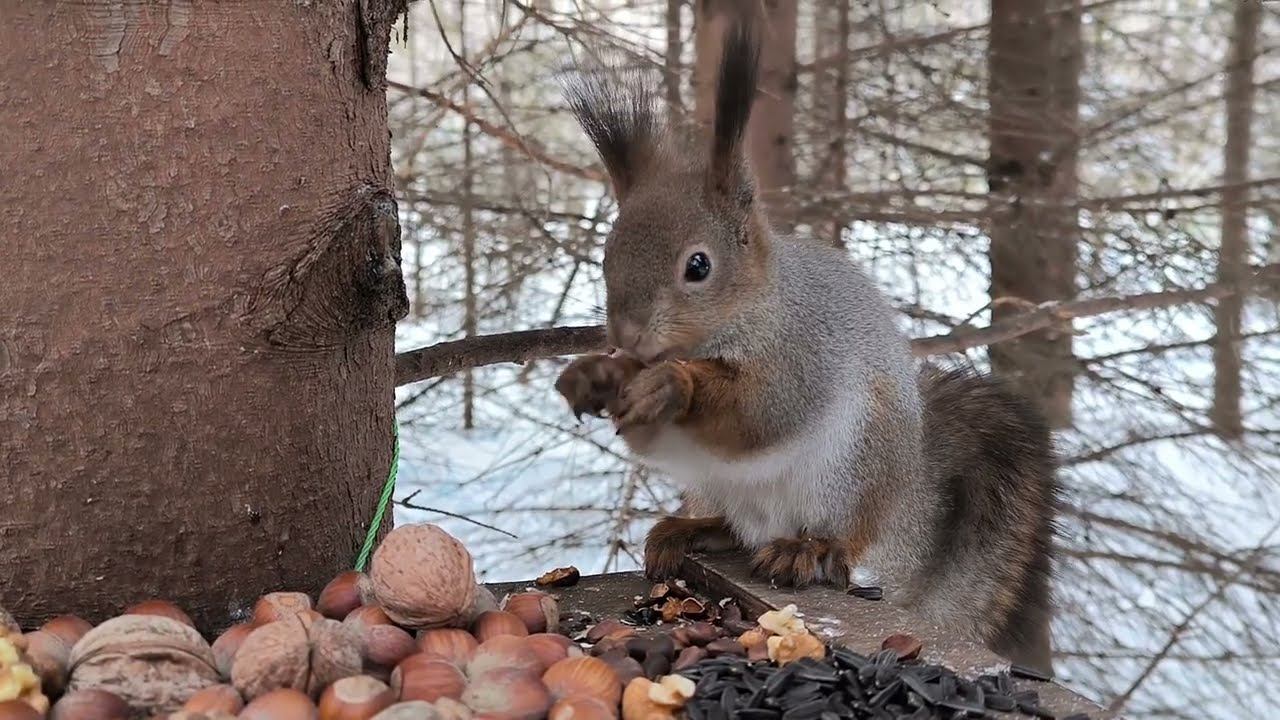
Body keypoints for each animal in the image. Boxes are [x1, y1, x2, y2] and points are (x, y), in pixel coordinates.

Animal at [552, 15, 1060, 675]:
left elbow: (759, 413)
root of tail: (903, 492)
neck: (752, 310)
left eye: (698, 266)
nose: (627, 335)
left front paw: (672, 383)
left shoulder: (802, 357)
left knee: (837, 543)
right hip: (720, 488)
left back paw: (807, 549)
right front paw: (591, 373)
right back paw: (693, 531)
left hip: (847, 470)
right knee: (736, 529)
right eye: (607, 256)